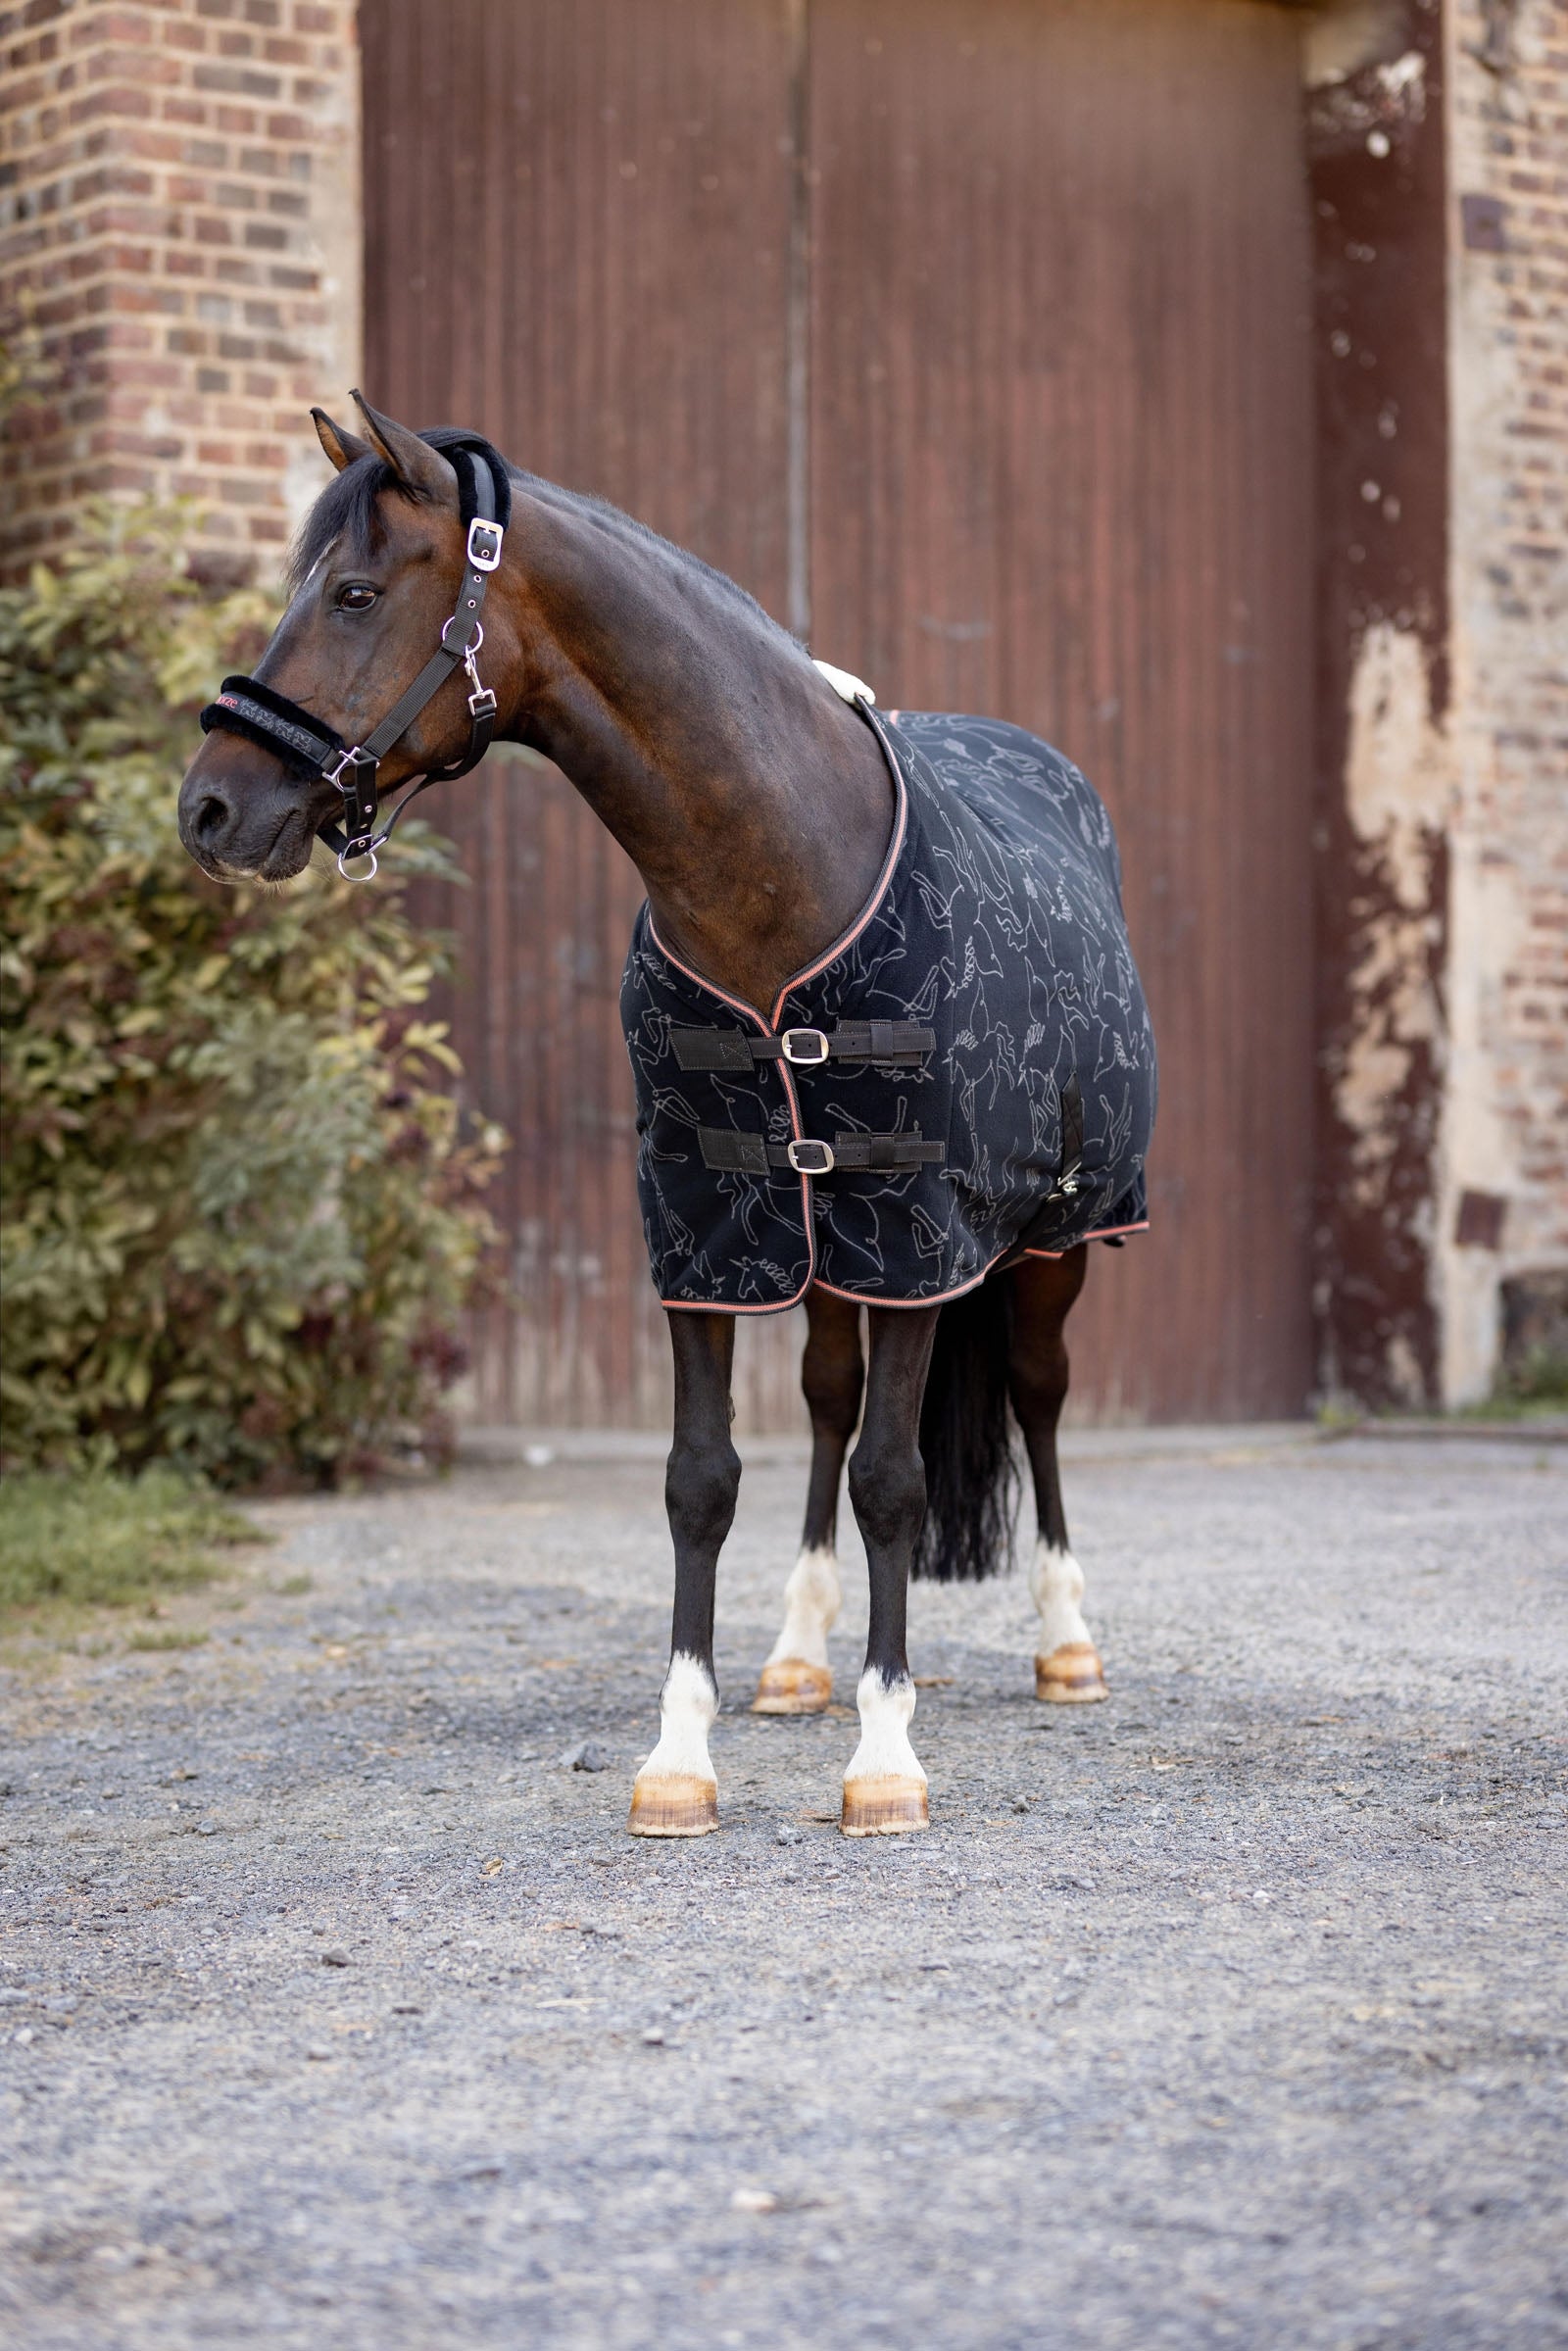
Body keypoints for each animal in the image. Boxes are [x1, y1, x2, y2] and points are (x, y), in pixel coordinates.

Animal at [178, 394, 1157, 1840]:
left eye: (353, 592)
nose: (210, 806)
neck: (780, 873)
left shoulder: (916, 1233)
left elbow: (895, 1479)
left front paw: (885, 1759)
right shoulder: (707, 1228)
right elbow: (704, 1478)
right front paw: (681, 1756)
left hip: (1051, 1235)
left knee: (1035, 1394)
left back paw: (1065, 1642)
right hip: (816, 1248)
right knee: (824, 1401)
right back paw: (798, 1657)